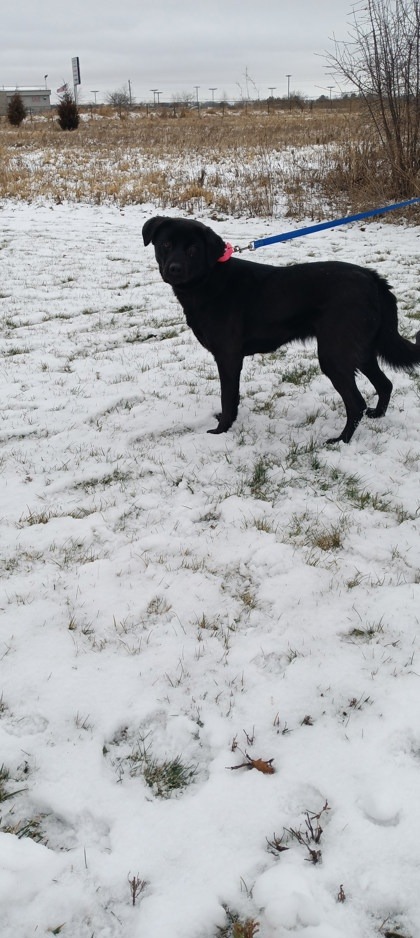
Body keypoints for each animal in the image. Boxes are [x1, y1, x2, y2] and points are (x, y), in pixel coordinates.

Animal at [142, 216, 420, 442]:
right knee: (385, 385)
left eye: (193, 250)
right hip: (360, 350)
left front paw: (222, 430)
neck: (209, 281)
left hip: (334, 355)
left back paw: (341, 441)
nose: (174, 269)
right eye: (165, 245)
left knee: (357, 402)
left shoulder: (228, 357)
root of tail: (372, 277)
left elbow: (228, 397)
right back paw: (377, 416)